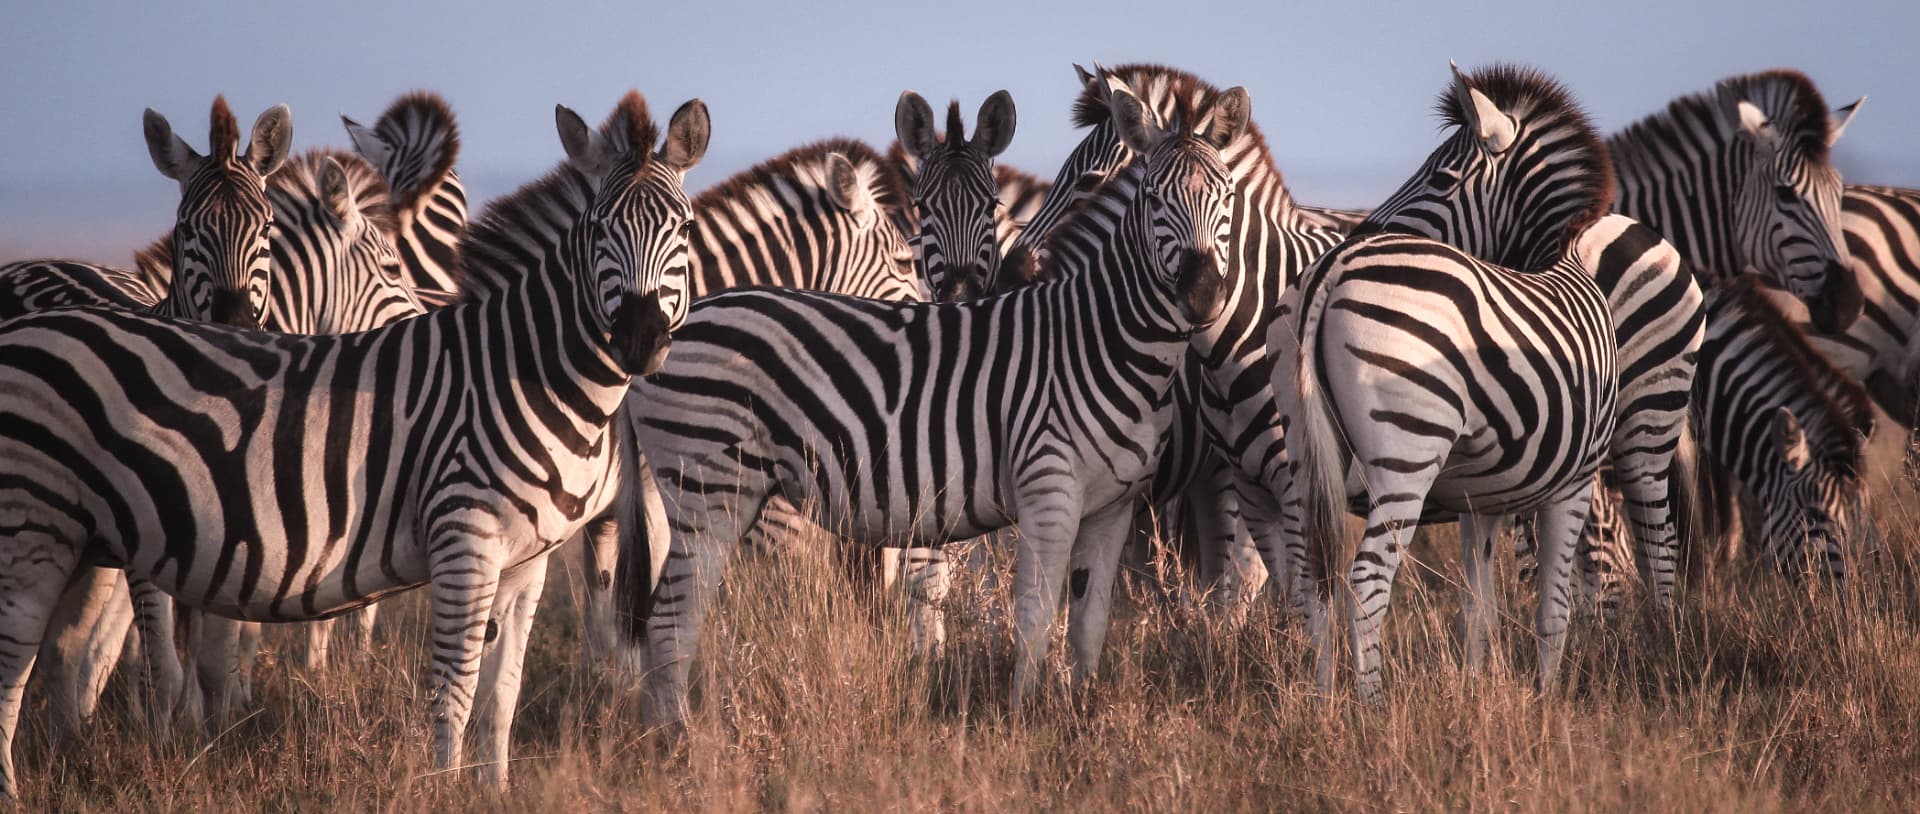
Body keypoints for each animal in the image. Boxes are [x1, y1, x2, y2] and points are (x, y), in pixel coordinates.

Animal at [617, 74, 1245, 725]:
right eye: (1153, 199)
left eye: (1228, 197)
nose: (1203, 295)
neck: (1105, 338)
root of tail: (666, 340)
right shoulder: (1048, 492)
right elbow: (1035, 616)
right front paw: (1023, 720)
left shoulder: (1112, 507)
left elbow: (1088, 623)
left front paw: (1080, 711)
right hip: (707, 488)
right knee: (669, 619)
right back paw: (679, 740)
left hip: (721, 494)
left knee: (674, 616)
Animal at [1275, 65, 1621, 703]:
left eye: (1440, 177)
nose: (1357, 231)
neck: (1557, 260)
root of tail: (1333, 269)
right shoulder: (1576, 480)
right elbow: (1552, 610)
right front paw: (1546, 701)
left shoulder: (1479, 500)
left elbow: (1478, 605)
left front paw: (1479, 691)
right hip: (1407, 450)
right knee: (1366, 580)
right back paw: (1372, 709)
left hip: (1304, 446)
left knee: (1316, 576)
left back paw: (1324, 702)